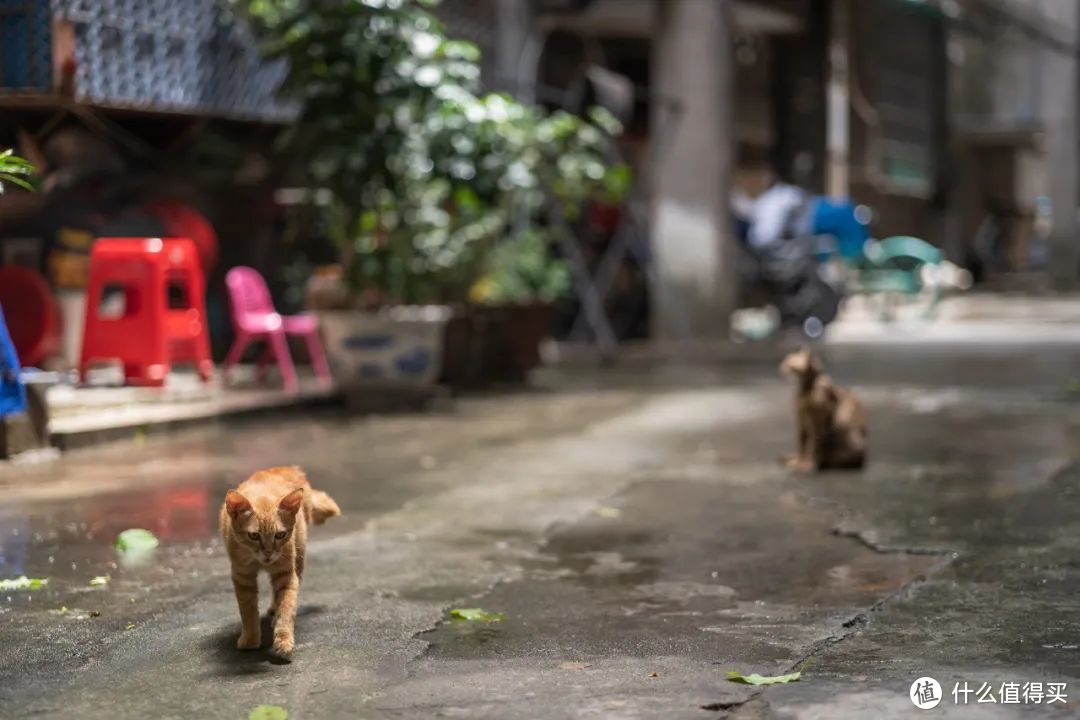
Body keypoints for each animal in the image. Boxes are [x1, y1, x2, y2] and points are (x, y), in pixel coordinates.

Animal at [217, 468, 339, 660]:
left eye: (280, 535)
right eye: (254, 535)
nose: (268, 553)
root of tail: (291, 467)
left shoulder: (286, 575)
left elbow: (287, 608)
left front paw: (283, 639)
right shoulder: (242, 576)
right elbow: (247, 610)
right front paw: (250, 638)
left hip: (299, 557)